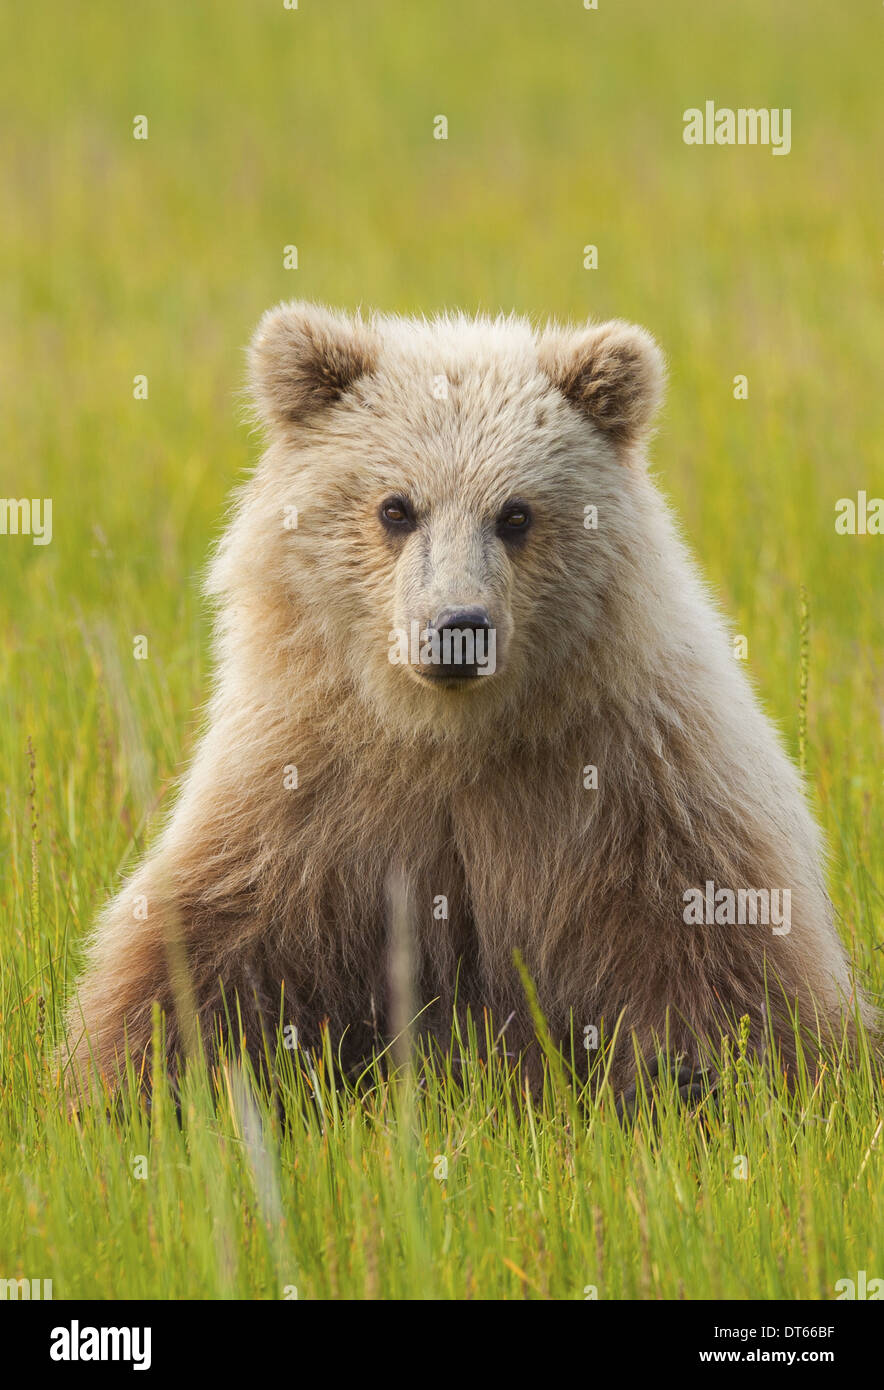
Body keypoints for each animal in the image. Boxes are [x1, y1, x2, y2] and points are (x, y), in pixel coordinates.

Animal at [67, 301, 872, 1095]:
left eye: (516, 513)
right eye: (396, 507)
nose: (458, 626)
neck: (449, 734)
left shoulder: (644, 789)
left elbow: (719, 966)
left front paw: (720, 1083)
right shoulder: (302, 799)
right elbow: (206, 948)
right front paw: (130, 1080)